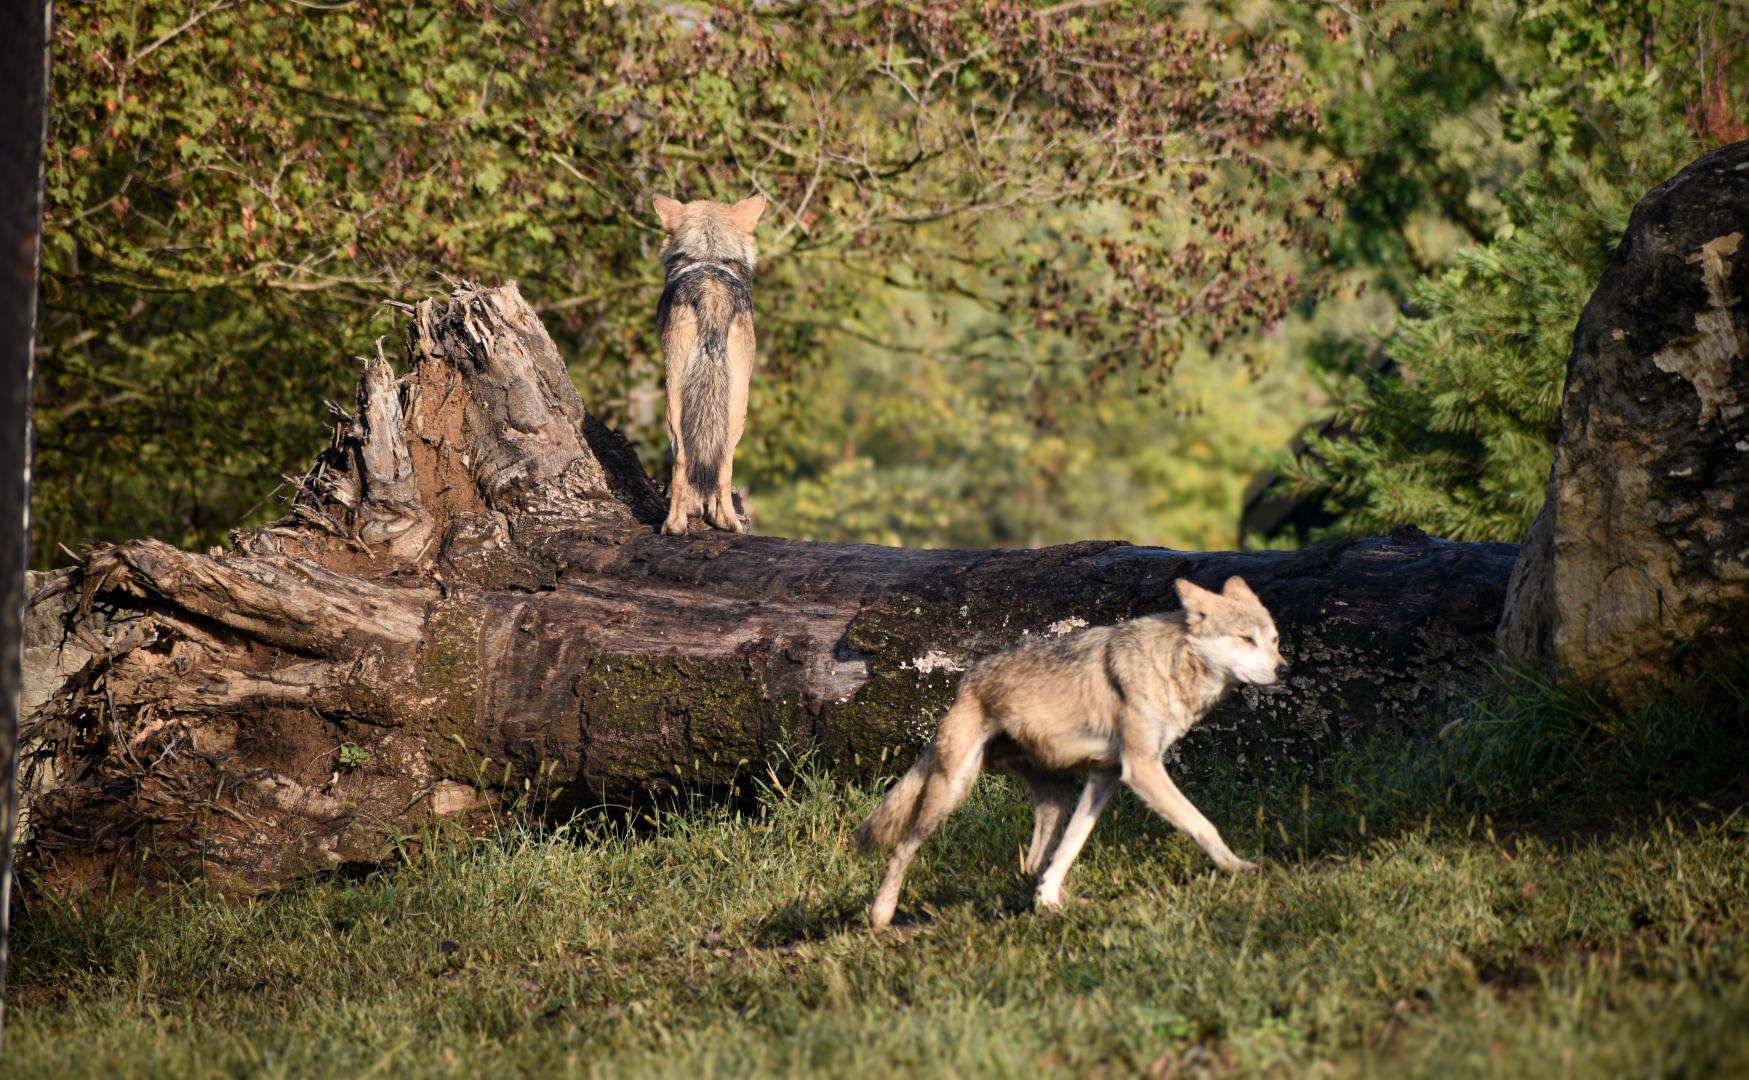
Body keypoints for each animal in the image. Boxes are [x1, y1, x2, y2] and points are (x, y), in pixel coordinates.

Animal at [652, 193, 765, 536]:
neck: (709, 256)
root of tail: (712, 295)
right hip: (734, 407)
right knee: (720, 462)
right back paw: (725, 522)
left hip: (678, 402)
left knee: (686, 460)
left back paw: (678, 525)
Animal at [854, 576, 1290, 930]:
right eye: (1245, 639)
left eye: (1274, 640)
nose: (1285, 670)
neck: (1173, 665)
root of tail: (963, 683)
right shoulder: (1142, 769)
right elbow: (1202, 824)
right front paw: (1238, 868)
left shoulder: (1107, 775)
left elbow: (1071, 846)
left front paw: (1050, 903)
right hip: (951, 792)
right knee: (903, 847)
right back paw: (880, 917)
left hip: (1058, 792)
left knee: (1035, 862)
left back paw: (1056, 900)